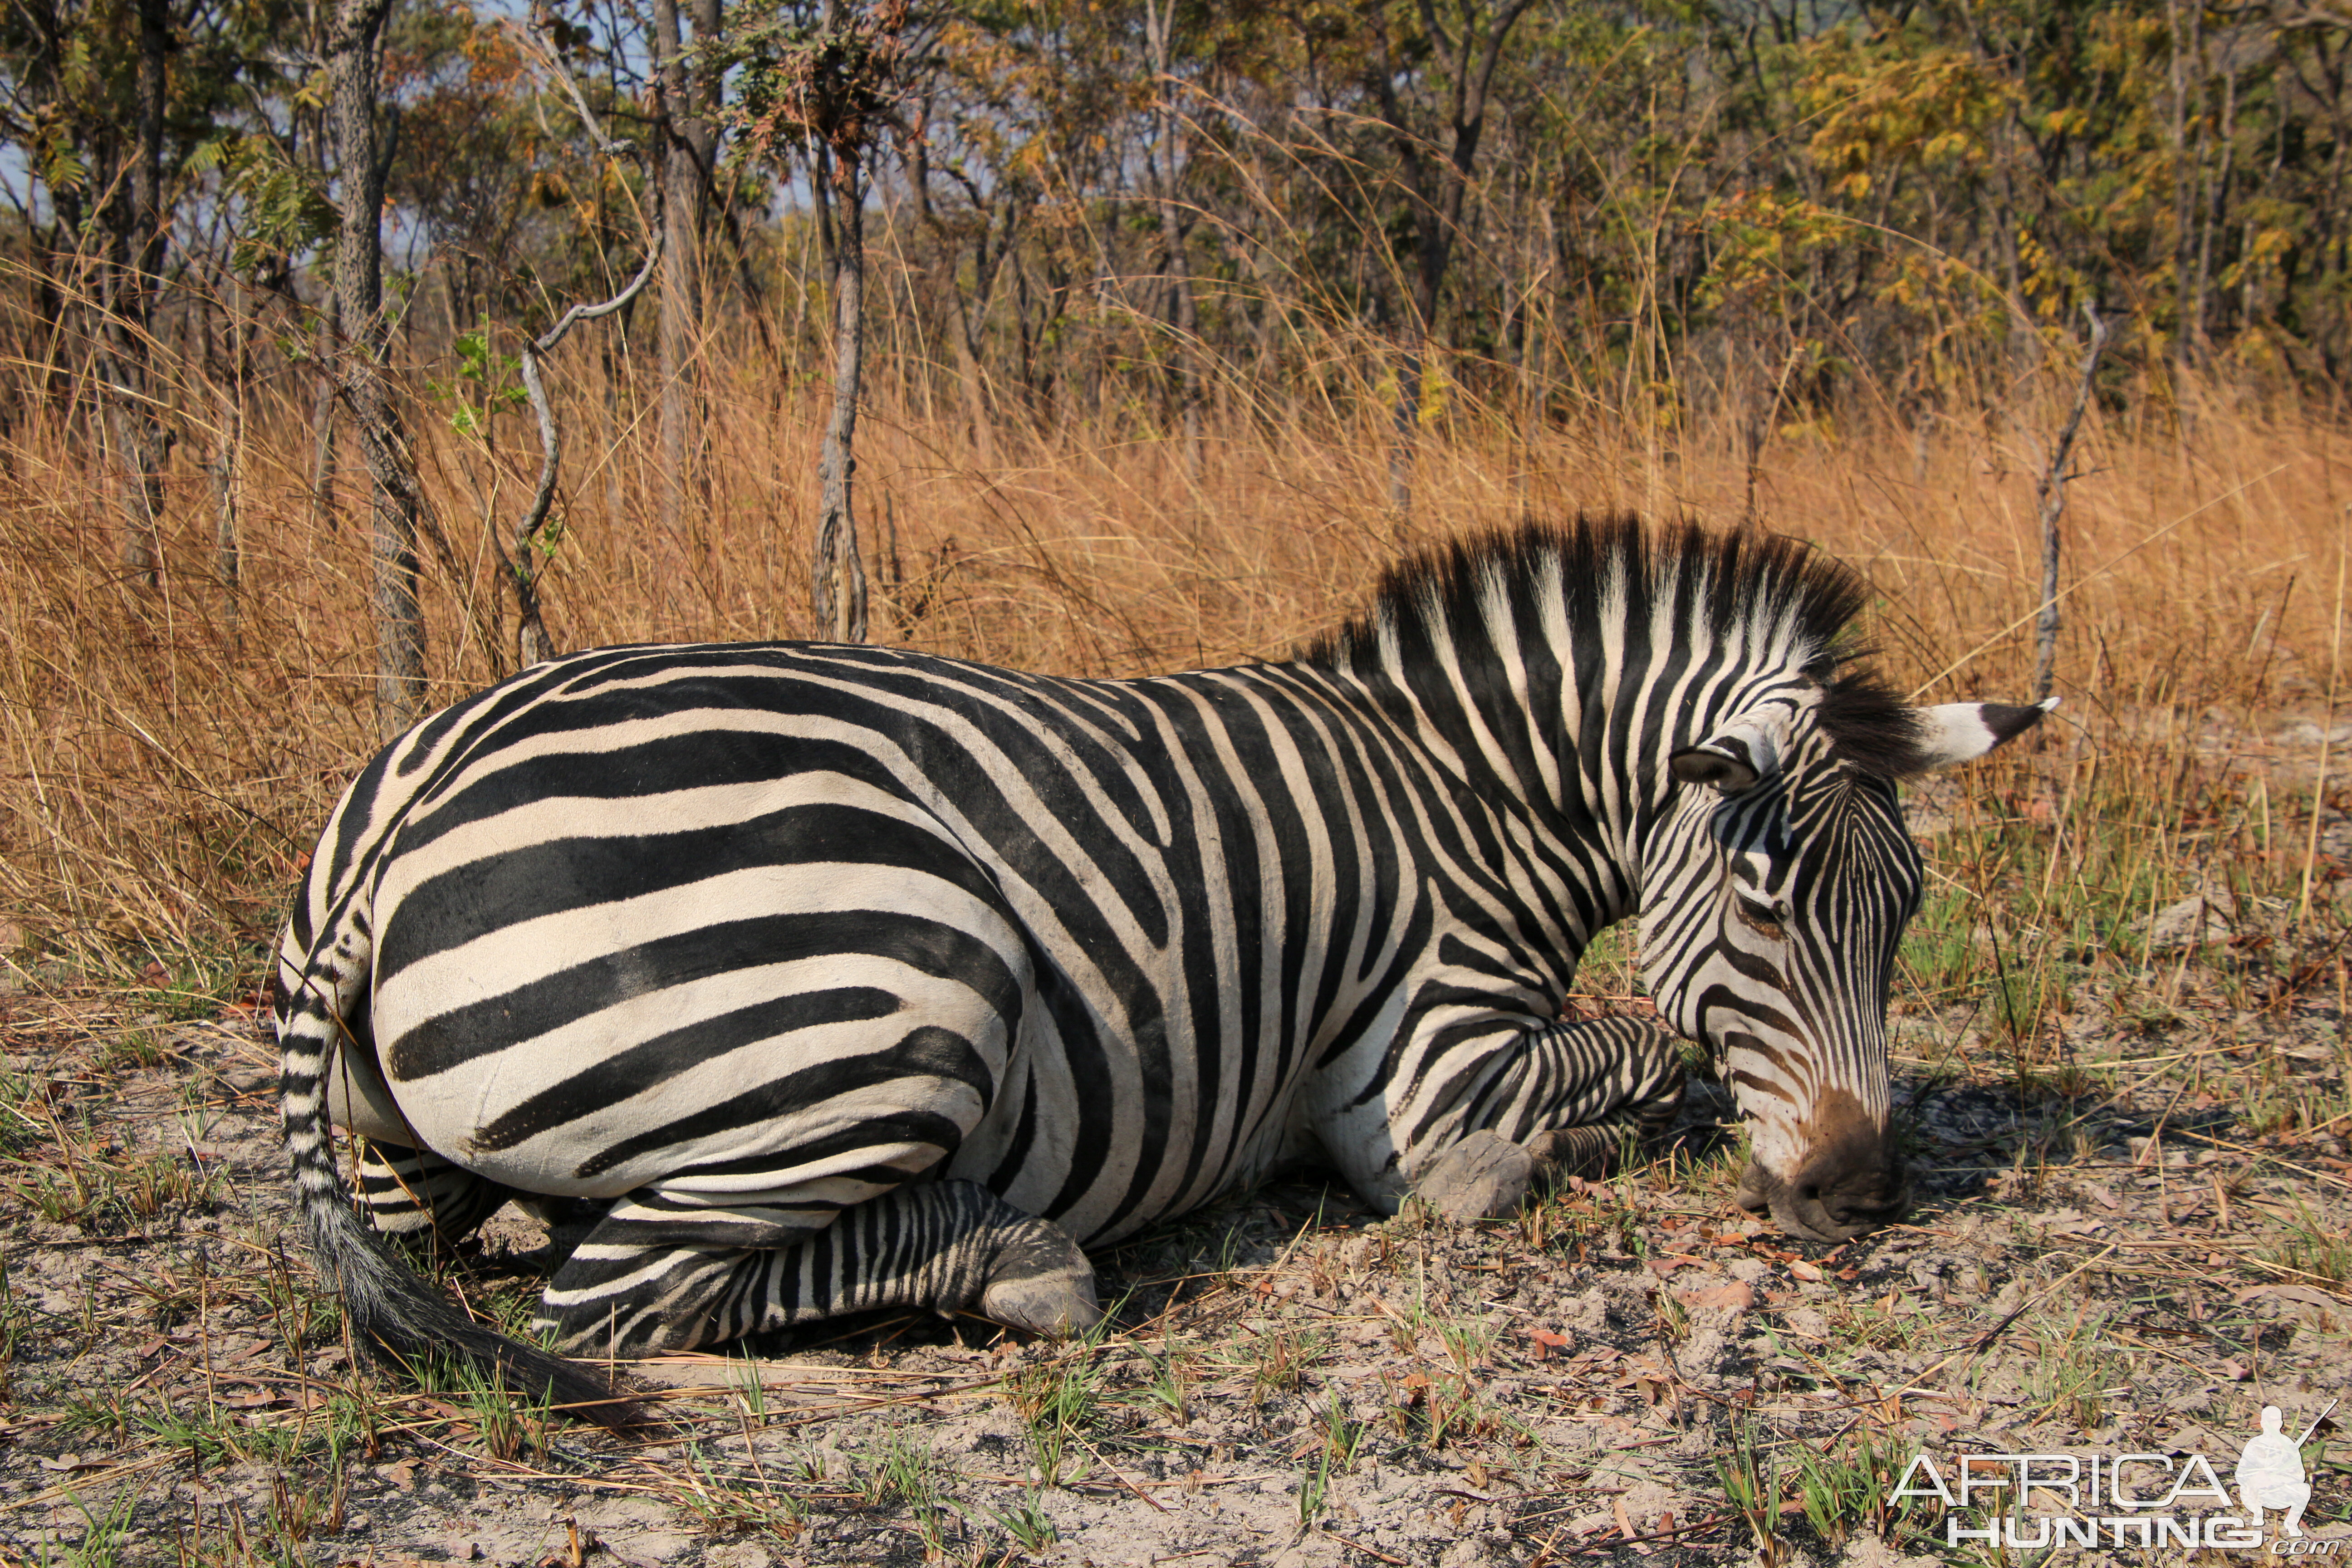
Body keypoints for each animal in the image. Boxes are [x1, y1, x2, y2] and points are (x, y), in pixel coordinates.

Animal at [270, 514, 2041, 1420]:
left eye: (1904, 914)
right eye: (1760, 905)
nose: (1863, 1195)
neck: (1465, 792)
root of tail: (403, 802)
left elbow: (1646, 1053)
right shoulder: (1423, 1069)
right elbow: (1620, 1059)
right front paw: (1562, 1150)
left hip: (422, 1154)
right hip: (903, 998)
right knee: (618, 1298)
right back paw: (1012, 1258)